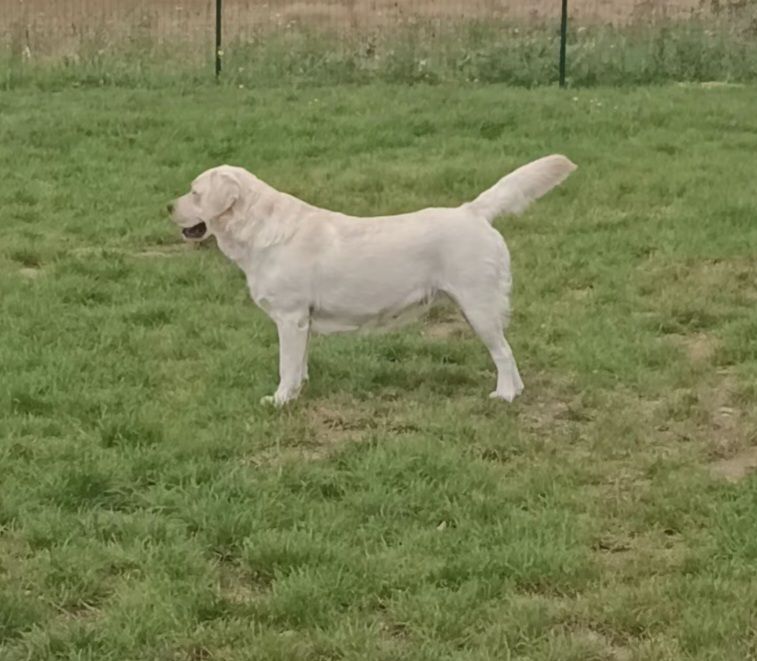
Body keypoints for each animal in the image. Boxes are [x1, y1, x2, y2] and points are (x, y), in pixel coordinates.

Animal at [168, 156, 576, 402]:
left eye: (195, 192)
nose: (168, 206)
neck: (258, 229)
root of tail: (472, 211)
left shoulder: (290, 316)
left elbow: (286, 364)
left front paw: (281, 400)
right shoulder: (302, 321)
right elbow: (300, 362)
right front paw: (299, 390)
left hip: (479, 307)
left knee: (503, 353)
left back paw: (504, 396)